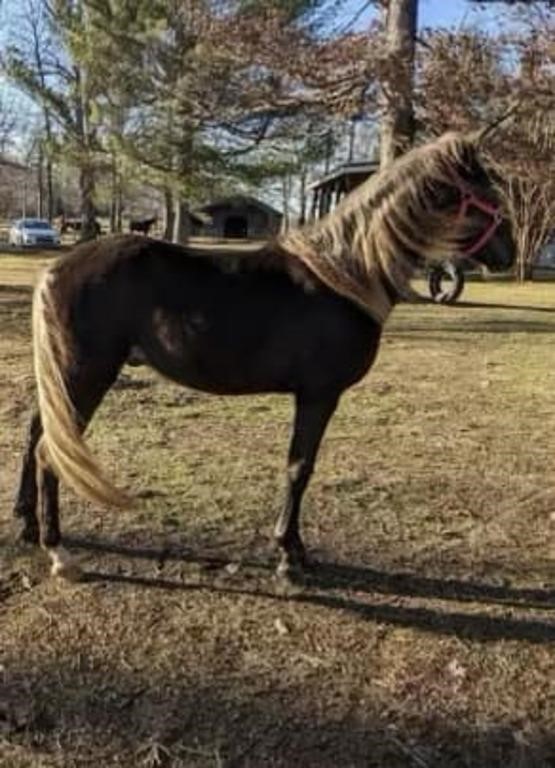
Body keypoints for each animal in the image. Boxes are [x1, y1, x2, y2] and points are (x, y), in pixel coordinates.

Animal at [13, 132, 516, 580]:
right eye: (486, 195)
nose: (509, 254)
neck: (345, 274)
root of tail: (57, 268)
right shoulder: (318, 395)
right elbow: (299, 467)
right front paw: (290, 555)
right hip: (85, 376)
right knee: (49, 452)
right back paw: (59, 553)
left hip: (66, 379)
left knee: (36, 434)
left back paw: (27, 525)